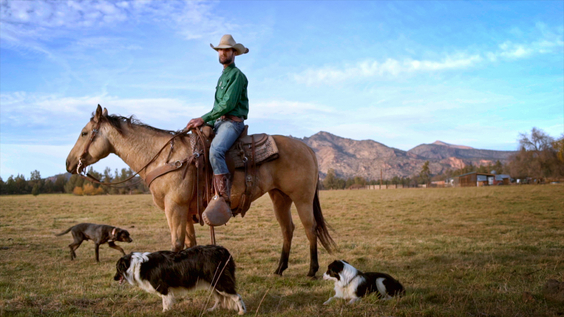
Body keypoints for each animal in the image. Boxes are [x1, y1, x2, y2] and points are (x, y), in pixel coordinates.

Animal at [68, 105, 338, 276]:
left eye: (84, 133)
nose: (69, 163)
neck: (165, 158)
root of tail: (306, 147)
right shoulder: (186, 212)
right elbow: (190, 243)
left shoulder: (174, 208)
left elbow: (176, 244)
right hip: (279, 197)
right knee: (287, 229)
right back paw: (280, 269)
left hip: (301, 198)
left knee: (310, 228)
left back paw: (312, 270)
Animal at [113, 243, 246, 312]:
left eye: (117, 269)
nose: (114, 278)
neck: (137, 264)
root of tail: (223, 250)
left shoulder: (163, 288)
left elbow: (165, 303)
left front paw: (165, 313)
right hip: (213, 283)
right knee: (219, 298)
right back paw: (211, 309)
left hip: (219, 281)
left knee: (237, 296)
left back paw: (241, 311)